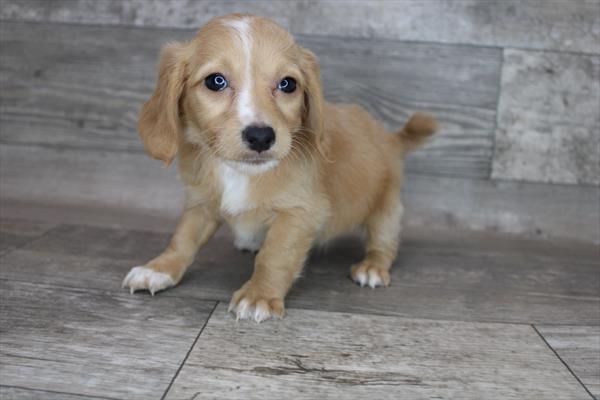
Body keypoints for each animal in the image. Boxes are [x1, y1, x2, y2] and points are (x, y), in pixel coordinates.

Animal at [122, 14, 436, 324]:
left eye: (287, 84)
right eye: (215, 81)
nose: (261, 136)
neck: (240, 173)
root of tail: (390, 137)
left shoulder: (299, 212)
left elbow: (275, 256)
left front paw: (259, 295)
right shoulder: (201, 203)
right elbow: (183, 239)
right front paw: (159, 268)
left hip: (386, 208)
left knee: (384, 242)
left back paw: (373, 267)